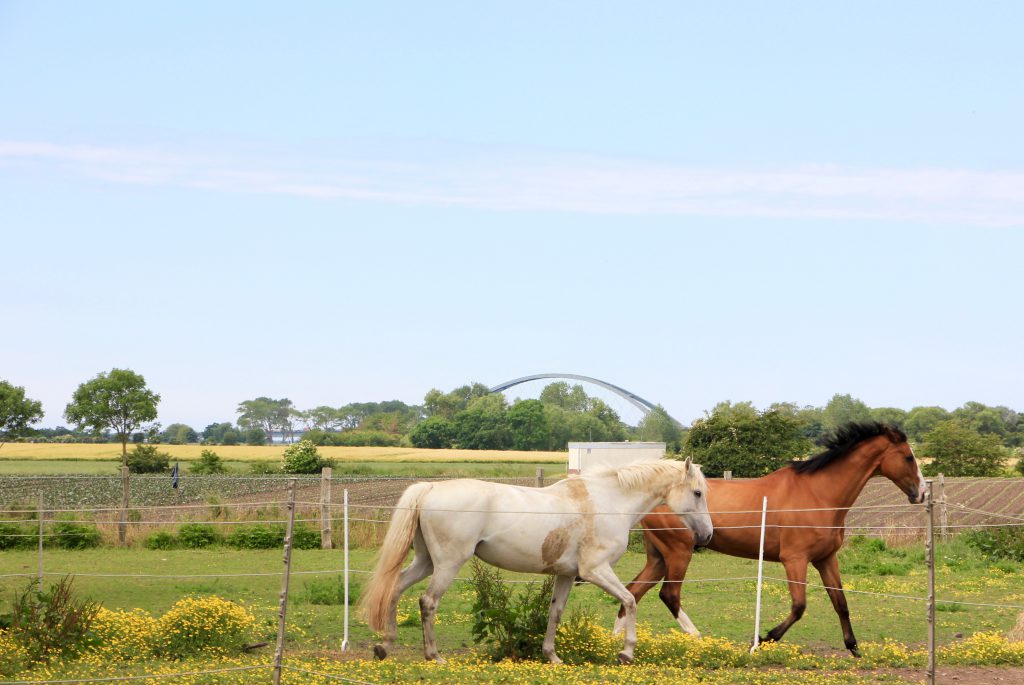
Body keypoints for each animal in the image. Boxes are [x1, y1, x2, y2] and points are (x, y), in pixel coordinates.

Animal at [362, 456, 712, 663]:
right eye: (697, 493)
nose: (706, 535)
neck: (609, 503)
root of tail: (431, 487)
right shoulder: (596, 570)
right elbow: (630, 600)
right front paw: (626, 653)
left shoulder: (567, 575)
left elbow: (555, 614)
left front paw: (551, 656)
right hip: (447, 565)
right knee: (428, 602)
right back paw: (433, 655)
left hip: (425, 562)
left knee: (395, 589)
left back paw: (385, 646)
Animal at [614, 419, 929, 655]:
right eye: (908, 456)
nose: (922, 493)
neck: (818, 495)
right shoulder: (795, 560)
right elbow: (799, 606)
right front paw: (761, 640)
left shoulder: (826, 559)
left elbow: (840, 602)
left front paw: (853, 647)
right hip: (679, 552)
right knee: (669, 595)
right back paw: (698, 638)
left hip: (659, 557)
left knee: (632, 591)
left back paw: (614, 642)